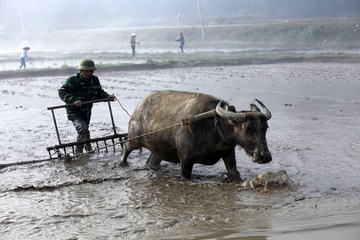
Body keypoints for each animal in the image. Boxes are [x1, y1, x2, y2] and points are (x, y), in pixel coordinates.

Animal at [118, 90, 272, 182]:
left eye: (265, 127)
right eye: (248, 128)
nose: (265, 156)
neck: (214, 127)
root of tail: (139, 107)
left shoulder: (228, 153)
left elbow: (235, 173)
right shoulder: (185, 160)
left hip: (159, 150)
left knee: (151, 161)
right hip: (135, 138)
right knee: (126, 148)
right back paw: (122, 163)